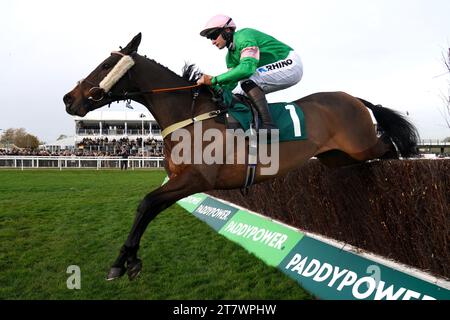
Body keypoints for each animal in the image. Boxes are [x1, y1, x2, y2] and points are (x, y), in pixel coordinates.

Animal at [62, 33, 418, 280]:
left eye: (106, 65)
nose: (69, 99)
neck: (190, 115)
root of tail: (353, 98)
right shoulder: (179, 181)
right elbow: (147, 209)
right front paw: (126, 262)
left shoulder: (195, 180)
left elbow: (147, 203)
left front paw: (124, 262)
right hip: (338, 157)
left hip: (361, 146)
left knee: (390, 146)